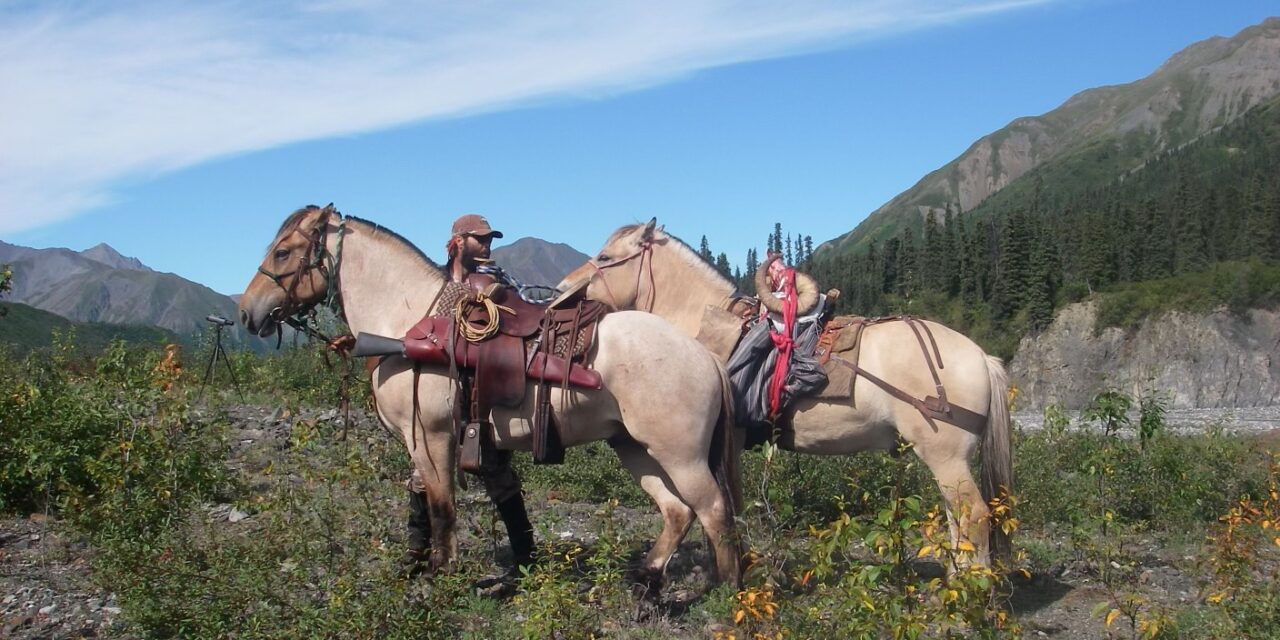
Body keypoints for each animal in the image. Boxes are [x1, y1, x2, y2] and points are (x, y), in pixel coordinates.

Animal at [238, 206, 742, 585]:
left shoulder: (430, 436)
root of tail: (703, 353)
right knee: (678, 512)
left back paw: (724, 590)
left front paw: (441, 574)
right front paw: (419, 564)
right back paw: (646, 578)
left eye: (283, 251)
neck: (406, 322)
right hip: (633, 447)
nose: (246, 313)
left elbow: (442, 507)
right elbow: (425, 499)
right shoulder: (424, 440)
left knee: (713, 510)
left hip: (680, 455)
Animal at [560, 219, 1013, 567]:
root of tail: (981, 356)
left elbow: (728, 505)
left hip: (946, 457)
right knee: (958, 519)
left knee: (973, 515)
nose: (562, 286)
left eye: (605, 257)